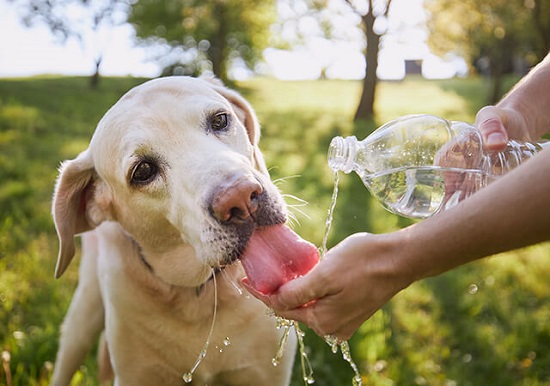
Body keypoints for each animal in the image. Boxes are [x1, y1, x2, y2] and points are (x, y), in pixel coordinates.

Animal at [50, 77, 302, 384]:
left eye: (220, 120)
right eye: (143, 171)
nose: (240, 198)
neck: (198, 294)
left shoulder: (265, 372)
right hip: (83, 315)